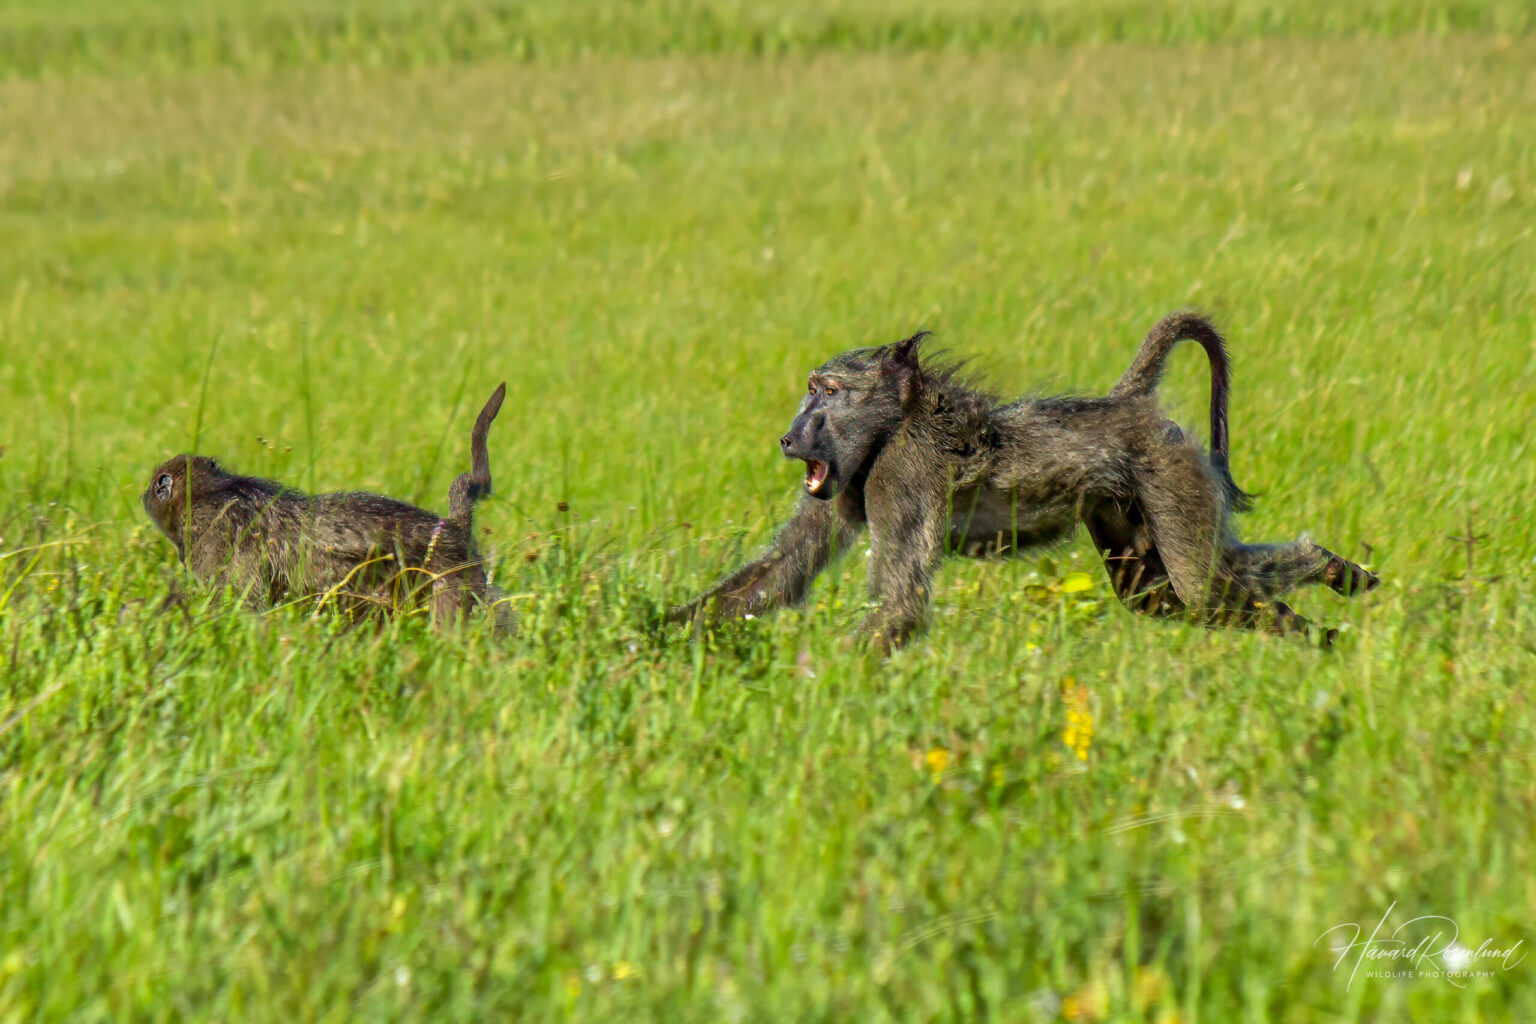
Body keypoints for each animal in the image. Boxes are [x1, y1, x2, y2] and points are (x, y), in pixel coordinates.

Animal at [142, 383, 509, 627]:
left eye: (156, 484)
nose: (144, 495)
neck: (210, 491)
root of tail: (454, 527)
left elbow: (242, 601)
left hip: (452, 578)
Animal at [669, 313, 1377, 651]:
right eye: (810, 390)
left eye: (828, 392)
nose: (789, 439)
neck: (898, 422)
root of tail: (1129, 404)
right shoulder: (843, 485)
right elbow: (779, 577)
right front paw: (656, 635)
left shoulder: (898, 475)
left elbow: (898, 607)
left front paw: (822, 683)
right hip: (1128, 507)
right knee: (1170, 594)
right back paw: (1320, 615)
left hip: (1170, 475)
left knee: (1201, 588)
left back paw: (1326, 587)